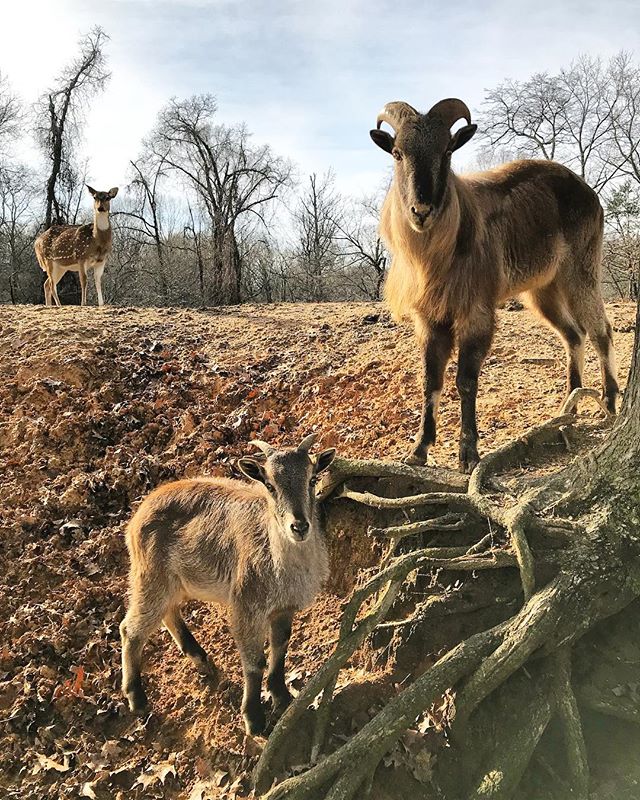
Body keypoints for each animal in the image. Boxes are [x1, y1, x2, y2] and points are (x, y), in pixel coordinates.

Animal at [119, 434, 336, 736]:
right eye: (269, 485)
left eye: (312, 478)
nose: (299, 526)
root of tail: (136, 517)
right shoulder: (247, 607)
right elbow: (254, 662)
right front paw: (254, 719)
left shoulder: (283, 608)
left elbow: (280, 646)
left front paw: (282, 696)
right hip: (149, 577)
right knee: (131, 628)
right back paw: (137, 699)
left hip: (172, 583)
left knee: (169, 612)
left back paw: (201, 660)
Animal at [370, 97, 620, 472]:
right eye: (398, 153)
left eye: (447, 151)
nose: (421, 210)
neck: (438, 255)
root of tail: (589, 193)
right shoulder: (430, 319)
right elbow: (431, 379)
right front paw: (418, 450)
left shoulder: (476, 313)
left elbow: (465, 381)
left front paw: (468, 454)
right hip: (542, 290)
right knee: (574, 335)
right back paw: (569, 405)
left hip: (580, 272)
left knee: (600, 330)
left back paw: (610, 403)